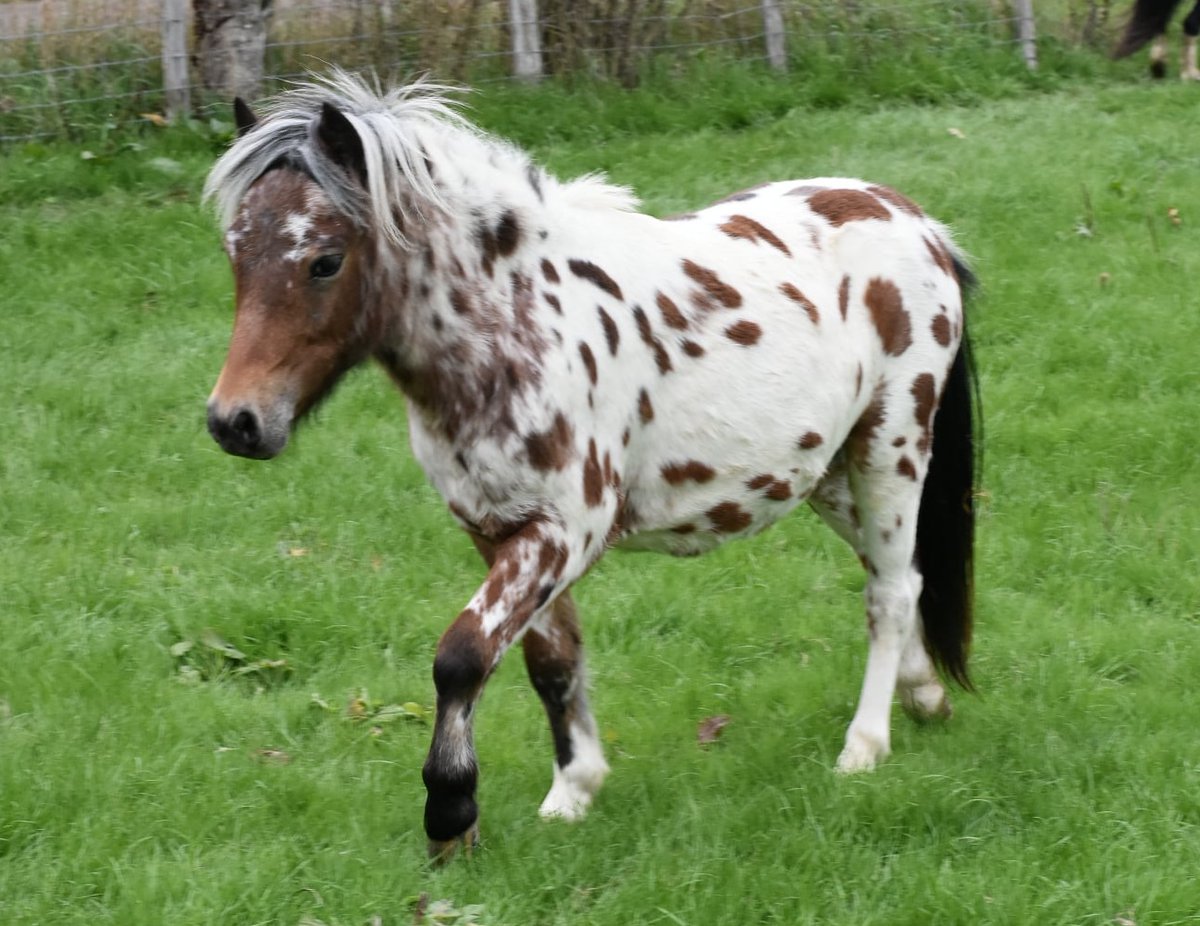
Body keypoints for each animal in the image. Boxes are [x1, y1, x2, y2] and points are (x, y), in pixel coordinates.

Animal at [203, 70, 979, 860]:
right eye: (234, 255)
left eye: (324, 260)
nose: (235, 422)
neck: (515, 326)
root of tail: (915, 220)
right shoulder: (496, 530)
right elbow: (549, 664)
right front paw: (571, 792)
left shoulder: (565, 531)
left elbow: (462, 655)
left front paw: (451, 813)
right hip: (821, 474)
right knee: (905, 570)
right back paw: (925, 696)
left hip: (891, 446)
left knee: (889, 592)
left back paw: (865, 746)